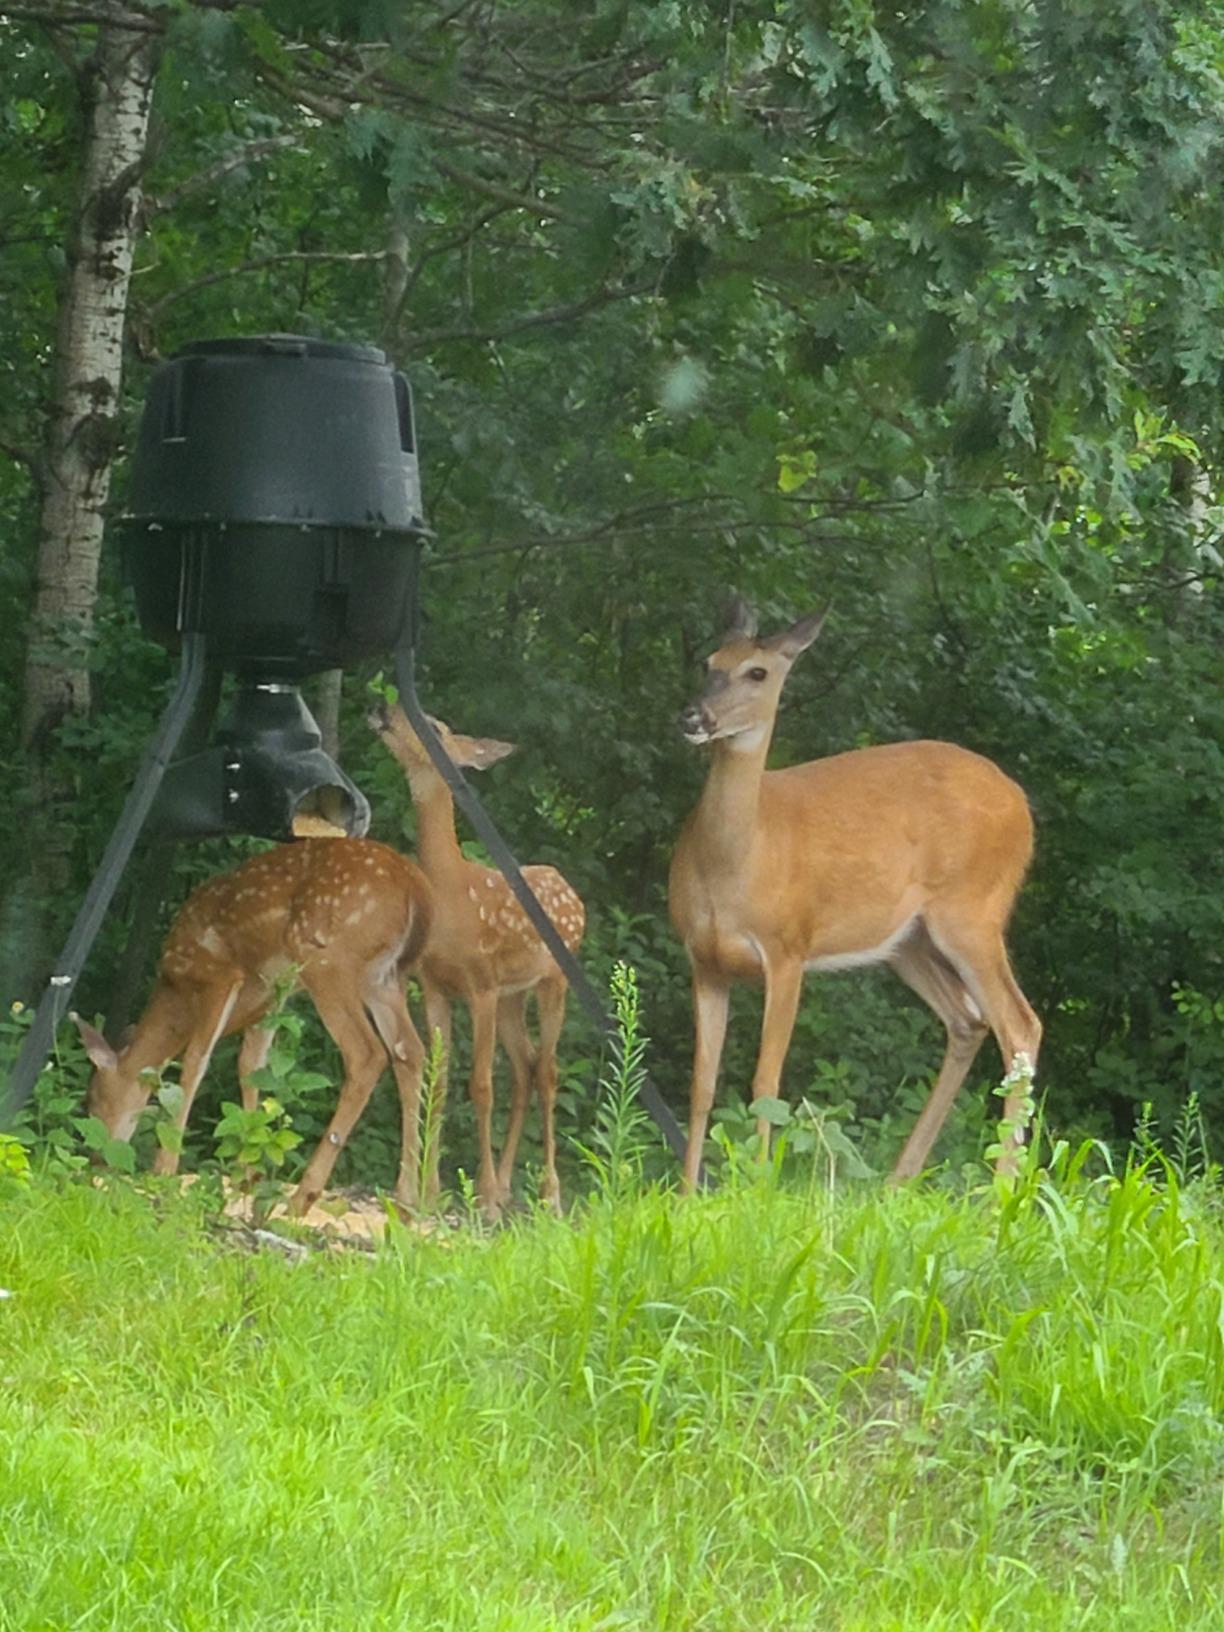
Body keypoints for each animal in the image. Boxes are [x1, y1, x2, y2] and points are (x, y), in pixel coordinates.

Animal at [72, 837, 435, 1216]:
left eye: (92, 1098)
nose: (96, 1159)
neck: (176, 989)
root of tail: (416, 888)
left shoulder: (219, 975)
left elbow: (195, 1062)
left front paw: (165, 1170)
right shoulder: (273, 993)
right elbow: (250, 1067)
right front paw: (247, 1175)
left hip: (327, 958)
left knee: (367, 1053)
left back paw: (303, 1197)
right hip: (384, 978)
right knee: (411, 1051)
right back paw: (408, 1200)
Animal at [367, 699, 586, 1220]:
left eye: (436, 726)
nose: (382, 705)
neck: (450, 890)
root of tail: (575, 894)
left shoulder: (480, 985)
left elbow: (481, 1086)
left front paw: (479, 1196)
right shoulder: (435, 986)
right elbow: (440, 1080)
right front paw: (432, 1192)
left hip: (553, 982)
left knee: (548, 1071)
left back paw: (546, 1192)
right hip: (512, 996)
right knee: (525, 1068)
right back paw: (507, 1186)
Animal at [668, 596, 1042, 1190]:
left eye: (758, 672)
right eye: (710, 662)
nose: (692, 717)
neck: (737, 864)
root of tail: (1021, 804)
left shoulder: (788, 947)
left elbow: (766, 1082)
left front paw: (758, 1187)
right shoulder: (704, 960)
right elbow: (702, 1085)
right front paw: (686, 1194)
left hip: (974, 911)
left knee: (1020, 1024)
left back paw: (1001, 1188)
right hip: (909, 941)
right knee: (968, 1021)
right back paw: (899, 1181)